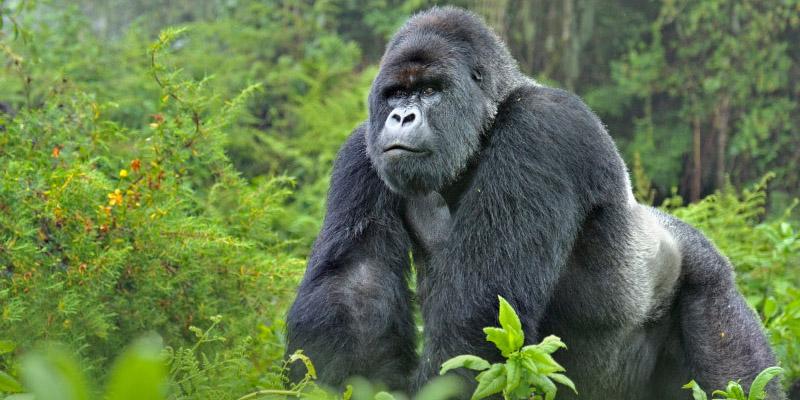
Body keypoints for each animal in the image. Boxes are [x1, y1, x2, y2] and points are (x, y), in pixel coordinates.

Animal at [286, 6, 780, 400]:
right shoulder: (362, 149)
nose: (401, 117)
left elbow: (479, 313)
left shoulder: (542, 130)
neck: (488, 121)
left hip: (709, 283)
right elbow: (354, 289)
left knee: (735, 368)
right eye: (396, 94)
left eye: (428, 90)